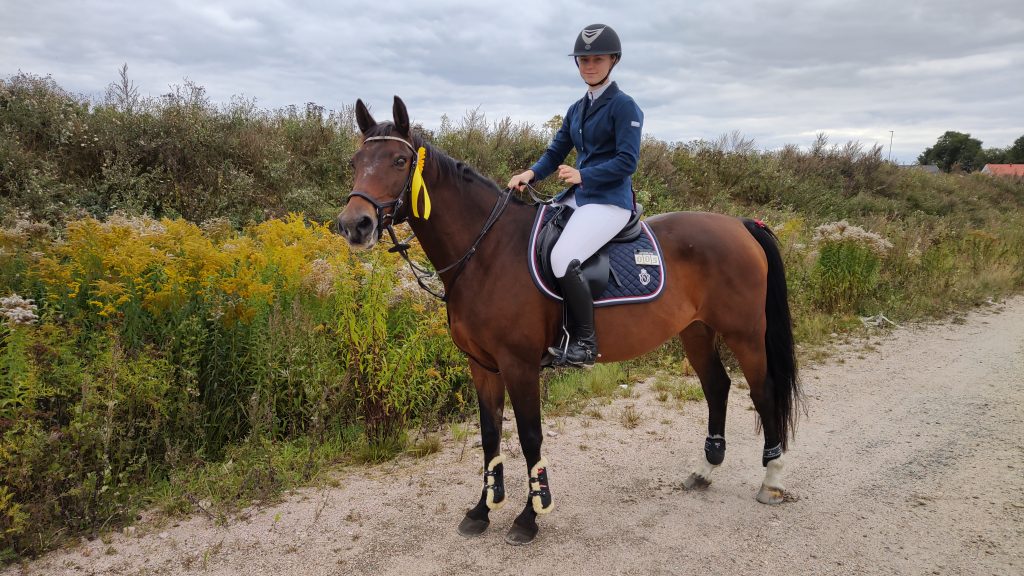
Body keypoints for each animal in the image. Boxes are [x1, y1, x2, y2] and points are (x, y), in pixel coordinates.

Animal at [335, 95, 798, 541]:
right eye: (355, 162)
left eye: (400, 160)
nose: (355, 225)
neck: (486, 251)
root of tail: (739, 224)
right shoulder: (482, 365)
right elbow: (489, 435)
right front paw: (482, 510)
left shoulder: (519, 364)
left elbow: (530, 435)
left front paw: (530, 516)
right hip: (696, 330)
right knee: (716, 386)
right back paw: (705, 471)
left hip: (745, 333)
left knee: (762, 391)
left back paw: (773, 480)